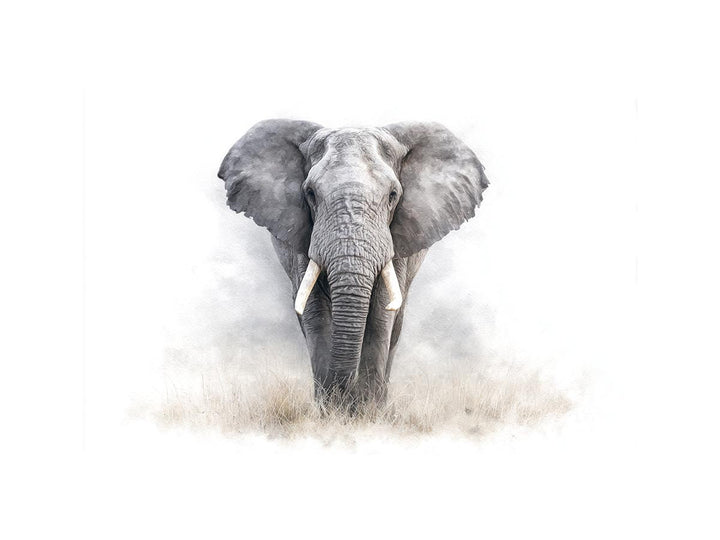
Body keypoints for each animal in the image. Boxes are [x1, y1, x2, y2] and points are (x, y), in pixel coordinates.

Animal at [218, 119, 489, 409]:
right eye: (310, 193)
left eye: (393, 195)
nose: (345, 399)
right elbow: (315, 311)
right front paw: (331, 411)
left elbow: (381, 311)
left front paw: (366, 411)